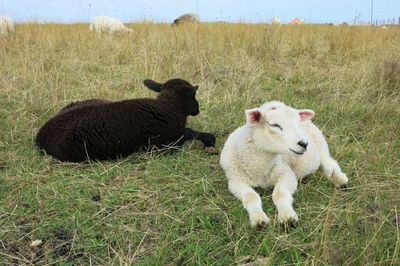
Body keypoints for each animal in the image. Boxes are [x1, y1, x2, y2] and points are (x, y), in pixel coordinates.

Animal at [36, 78, 217, 162]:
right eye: (193, 95)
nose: (198, 110)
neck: (169, 108)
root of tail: (40, 135)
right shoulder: (163, 145)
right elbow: (189, 132)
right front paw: (209, 139)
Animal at [220, 101, 348, 228]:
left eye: (297, 123)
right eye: (274, 125)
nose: (304, 143)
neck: (260, 169)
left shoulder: (287, 174)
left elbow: (280, 194)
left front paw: (288, 217)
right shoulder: (236, 181)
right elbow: (251, 196)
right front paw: (259, 219)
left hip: (320, 142)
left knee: (328, 162)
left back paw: (340, 180)